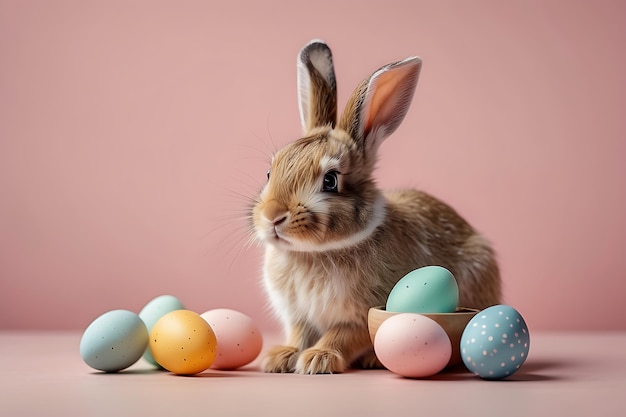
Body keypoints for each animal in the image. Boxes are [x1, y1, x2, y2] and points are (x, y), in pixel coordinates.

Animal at [249, 39, 498, 374]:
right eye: (269, 172)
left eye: (330, 181)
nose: (272, 216)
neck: (314, 254)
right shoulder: (298, 316)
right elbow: (299, 333)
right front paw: (281, 357)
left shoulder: (362, 313)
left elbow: (343, 334)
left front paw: (318, 359)